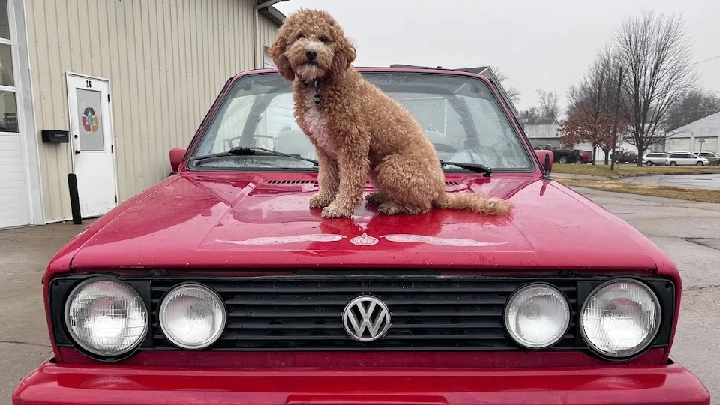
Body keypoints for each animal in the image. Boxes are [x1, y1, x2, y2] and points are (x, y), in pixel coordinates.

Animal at [268, 8, 512, 218]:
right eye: (299, 36)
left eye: (324, 39)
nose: (311, 53)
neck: (318, 85)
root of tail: (440, 192)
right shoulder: (325, 148)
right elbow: (327, 177)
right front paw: (324, 198)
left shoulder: (353, 144)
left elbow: (350, 181)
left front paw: (340, 207)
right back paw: (381, 197)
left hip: (392, 167)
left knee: (423, 206)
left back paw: (394, 206)